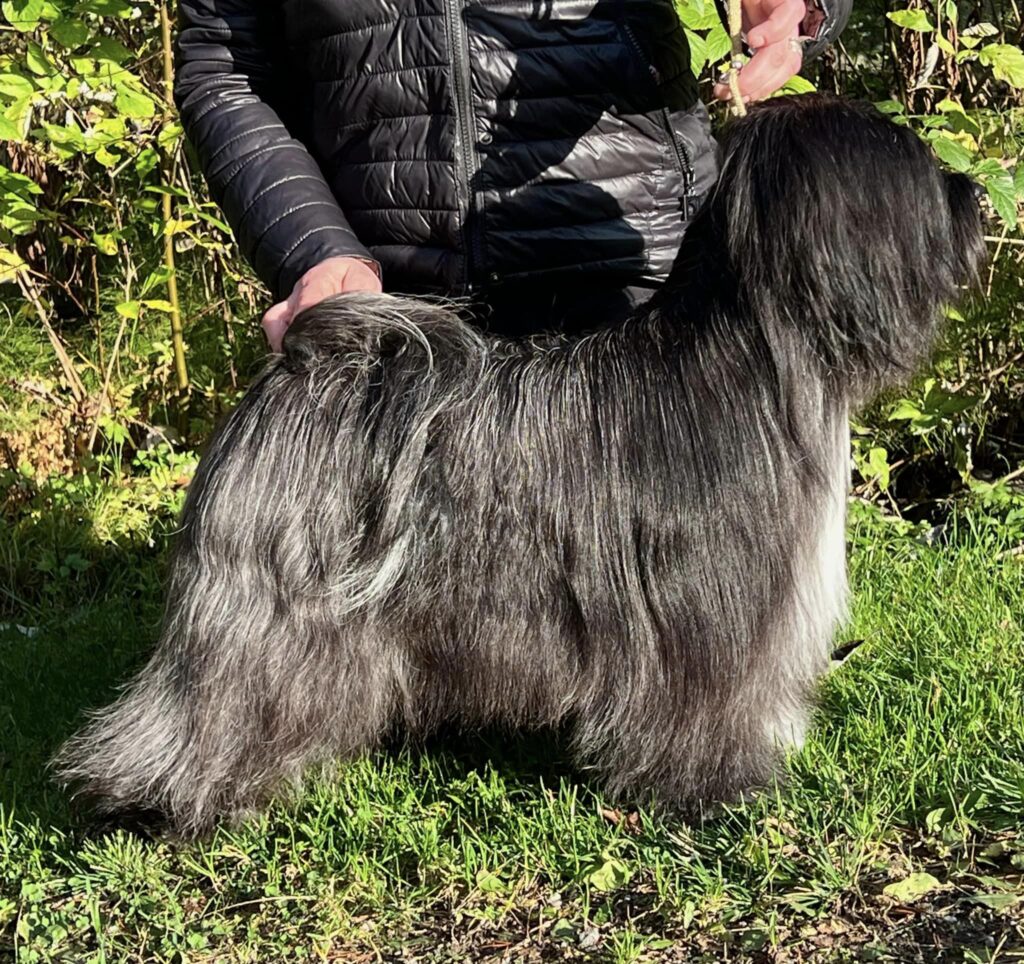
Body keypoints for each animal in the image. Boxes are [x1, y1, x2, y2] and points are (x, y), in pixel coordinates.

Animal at [56, 94, 986, 836]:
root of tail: (305, 363)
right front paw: (714, 792)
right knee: (208, 704)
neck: (747, 358)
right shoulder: (706, 613)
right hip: (263, 615)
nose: (975, 193)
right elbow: (708, 703)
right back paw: (167, 801)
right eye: (912, 166)